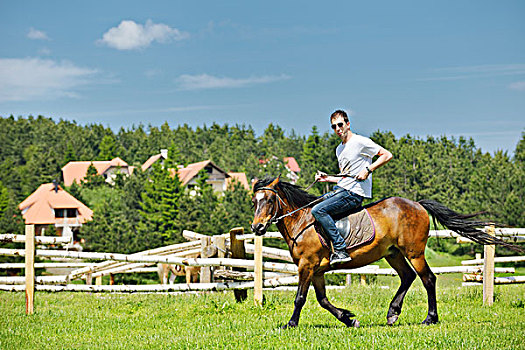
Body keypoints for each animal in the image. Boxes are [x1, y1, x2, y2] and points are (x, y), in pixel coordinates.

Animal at [250, 178, 520, 328]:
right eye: (254, 202)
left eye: (269, 201)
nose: (257, 228)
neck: (302, 222)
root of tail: (418, 204)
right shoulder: (316, 270)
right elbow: (322, 300)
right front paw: (348, 318)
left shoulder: (306, 265)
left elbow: (300, 298)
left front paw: (290, 324)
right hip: (393, 254)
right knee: (408, 277)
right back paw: (392, 314)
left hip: (414, 252)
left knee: (428, 279)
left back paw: (430, 318)